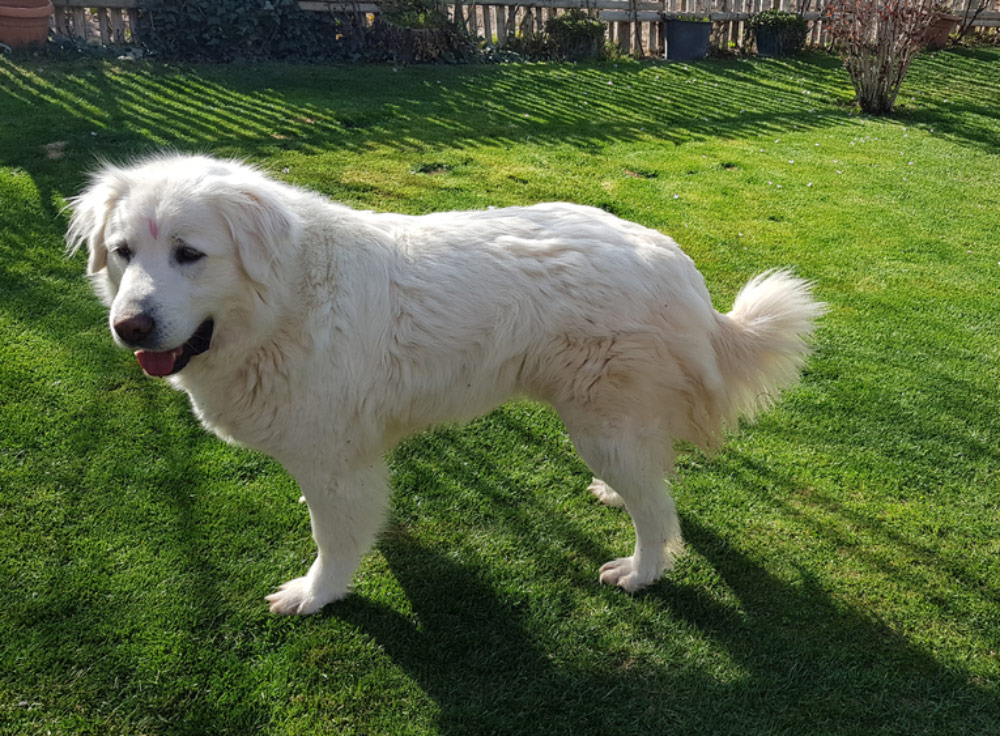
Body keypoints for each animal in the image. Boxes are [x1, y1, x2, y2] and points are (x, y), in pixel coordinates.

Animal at [66, 155, 824, 616]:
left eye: (189, 254)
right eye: (124, 252)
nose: (130, 327)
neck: (288, 300)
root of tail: (674, 262)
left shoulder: (337, 461)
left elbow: (333, 540)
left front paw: (316, 595)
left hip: (598, 423)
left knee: (659, 516)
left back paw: (640, 571)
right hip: (613, 424)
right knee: (656, 479)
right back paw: (618, 499)